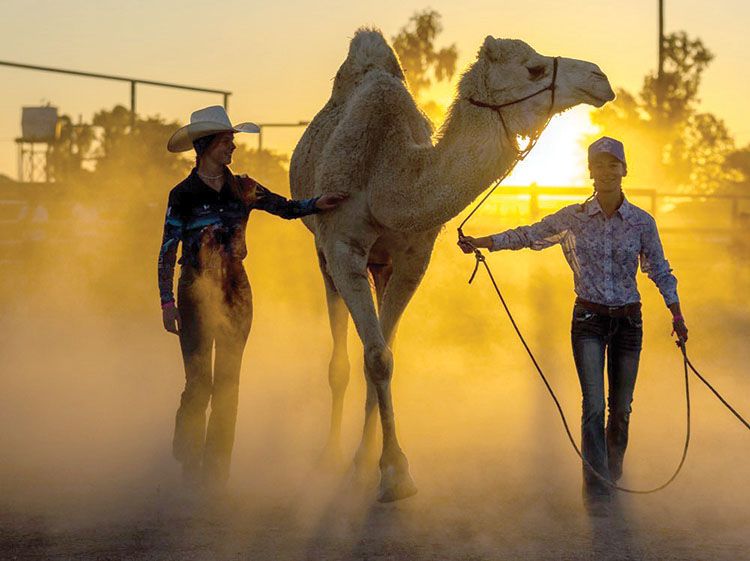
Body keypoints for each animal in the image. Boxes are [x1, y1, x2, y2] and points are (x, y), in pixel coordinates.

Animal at [289, 28, 614, 503]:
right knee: (340, 358)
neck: (388, 175)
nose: (600, 78)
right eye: (534, 69)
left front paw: (378, 464)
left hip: (381, 265)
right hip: (322, 253)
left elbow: (385, 355)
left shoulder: (413, 256)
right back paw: (329, 453)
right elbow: (374, 358)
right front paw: (392, 472)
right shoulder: (341, 245)